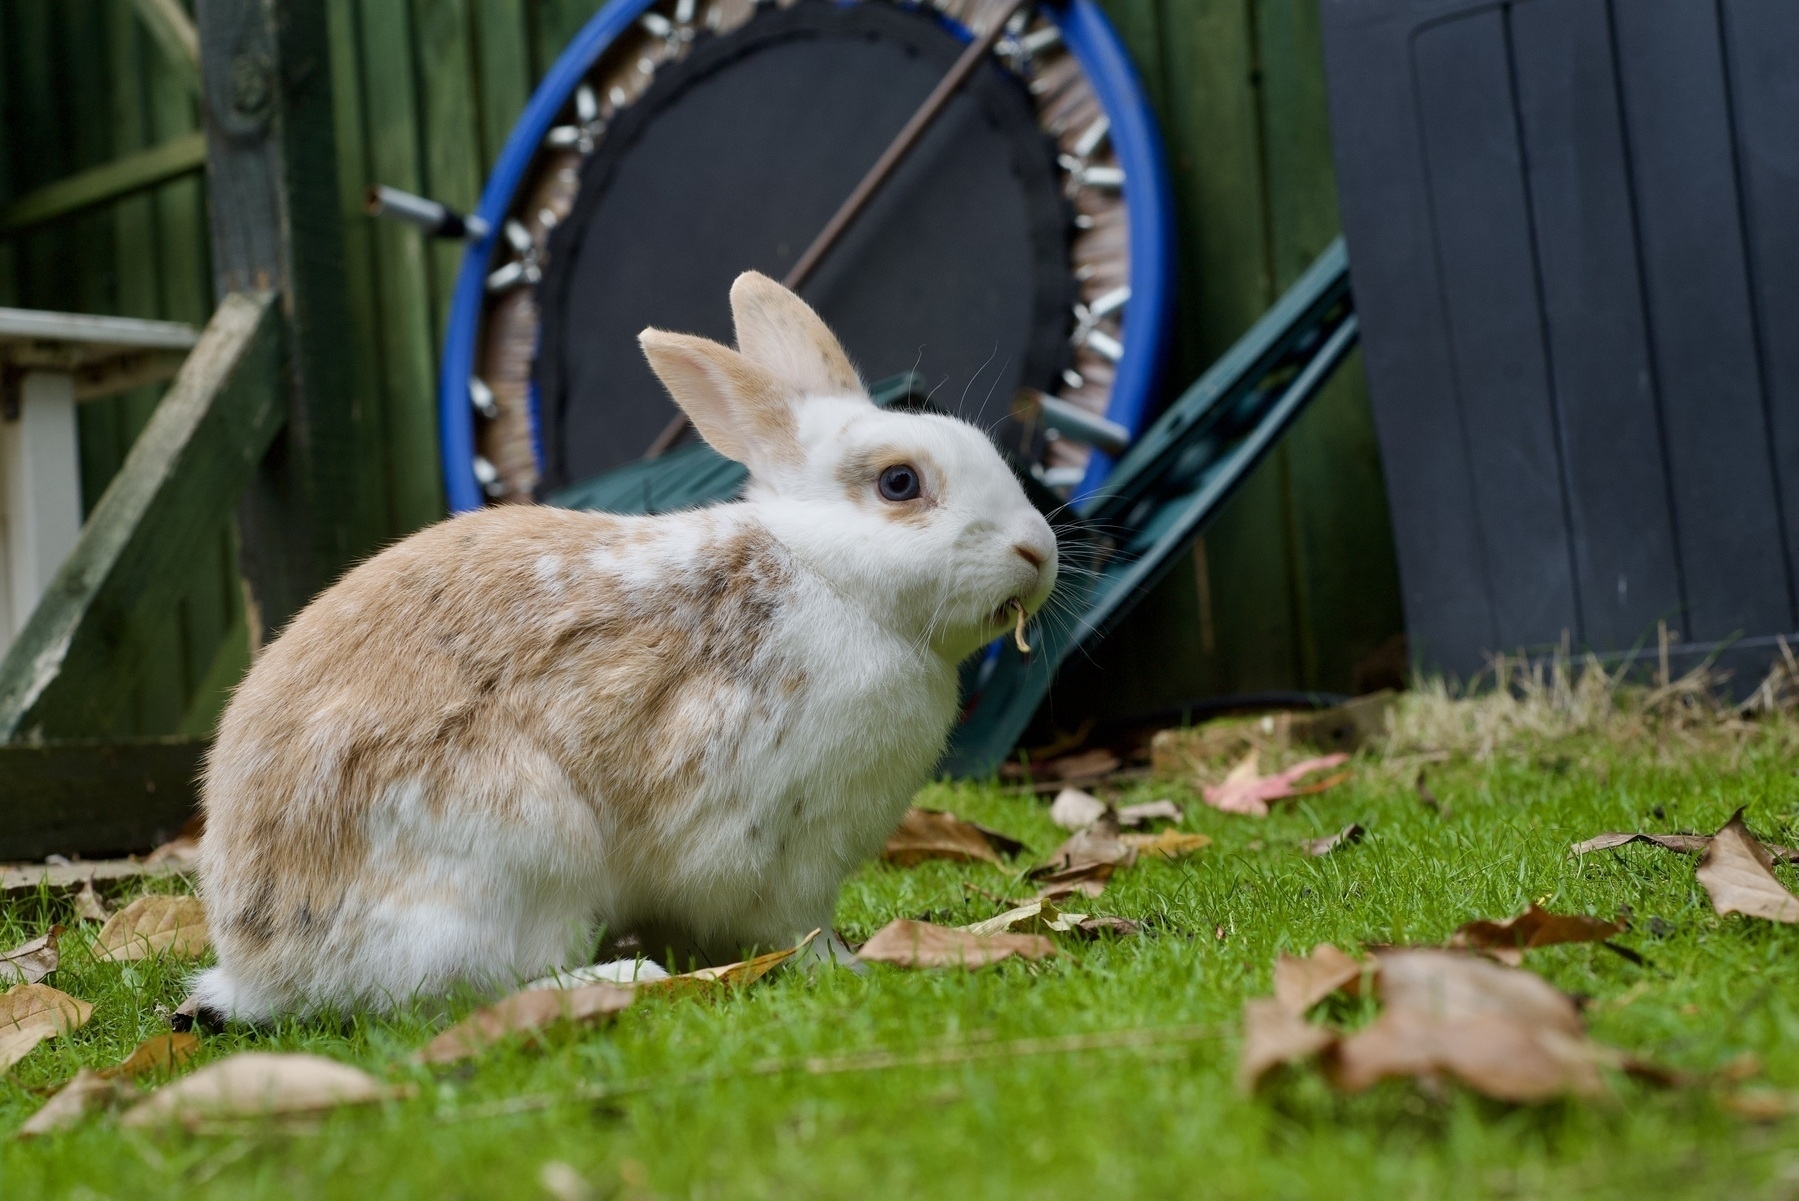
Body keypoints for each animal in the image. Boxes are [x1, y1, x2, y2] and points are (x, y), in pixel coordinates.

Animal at [193, 271, 1065, 1021]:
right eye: (898, 483)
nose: (1038, 550)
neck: (828, 574)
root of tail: (258, 968)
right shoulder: (777, 852)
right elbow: (797, 925)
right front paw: (846, 965)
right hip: (520, 847)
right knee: (483, 981)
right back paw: (625, 975)